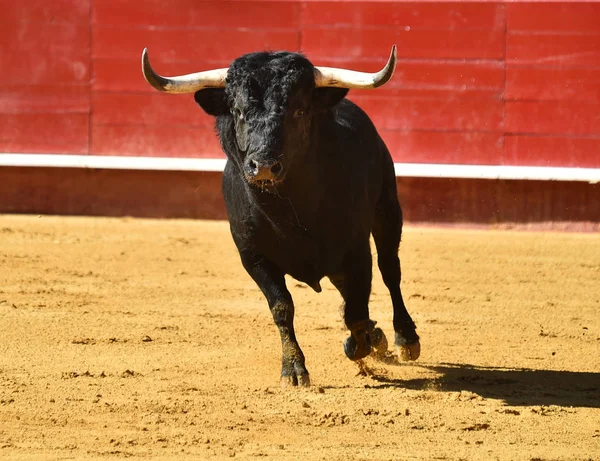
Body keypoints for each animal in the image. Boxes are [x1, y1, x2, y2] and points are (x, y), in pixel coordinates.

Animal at [142, 45, 420, 384]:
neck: (289, 208)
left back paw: (405, 339)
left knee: (390, 270)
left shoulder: (356, 250)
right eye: (237, 111)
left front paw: (360, 343)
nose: (262, 166)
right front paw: (294, 368)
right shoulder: (253, 256)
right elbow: (282, 307)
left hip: (388, 210)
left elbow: (358, 307)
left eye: (299, 111)